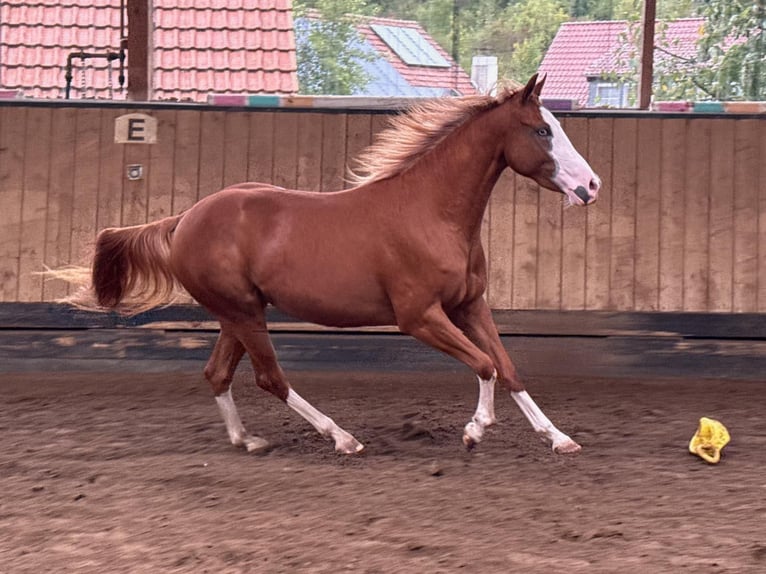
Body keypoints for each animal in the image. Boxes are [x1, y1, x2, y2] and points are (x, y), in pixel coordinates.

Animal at [52, 74, 600, 456]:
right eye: (541, 130)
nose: (591, 186)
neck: (431, 213)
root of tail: (184, 218)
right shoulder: (420, 317)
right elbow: (485, 364)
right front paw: (474, 431)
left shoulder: (470, 306)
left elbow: (508, 368)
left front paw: (559, 439)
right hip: (244, 313)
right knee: (269, 378)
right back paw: (342, 438)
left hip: (238, 314)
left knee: (217, 373)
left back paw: (248, 440)